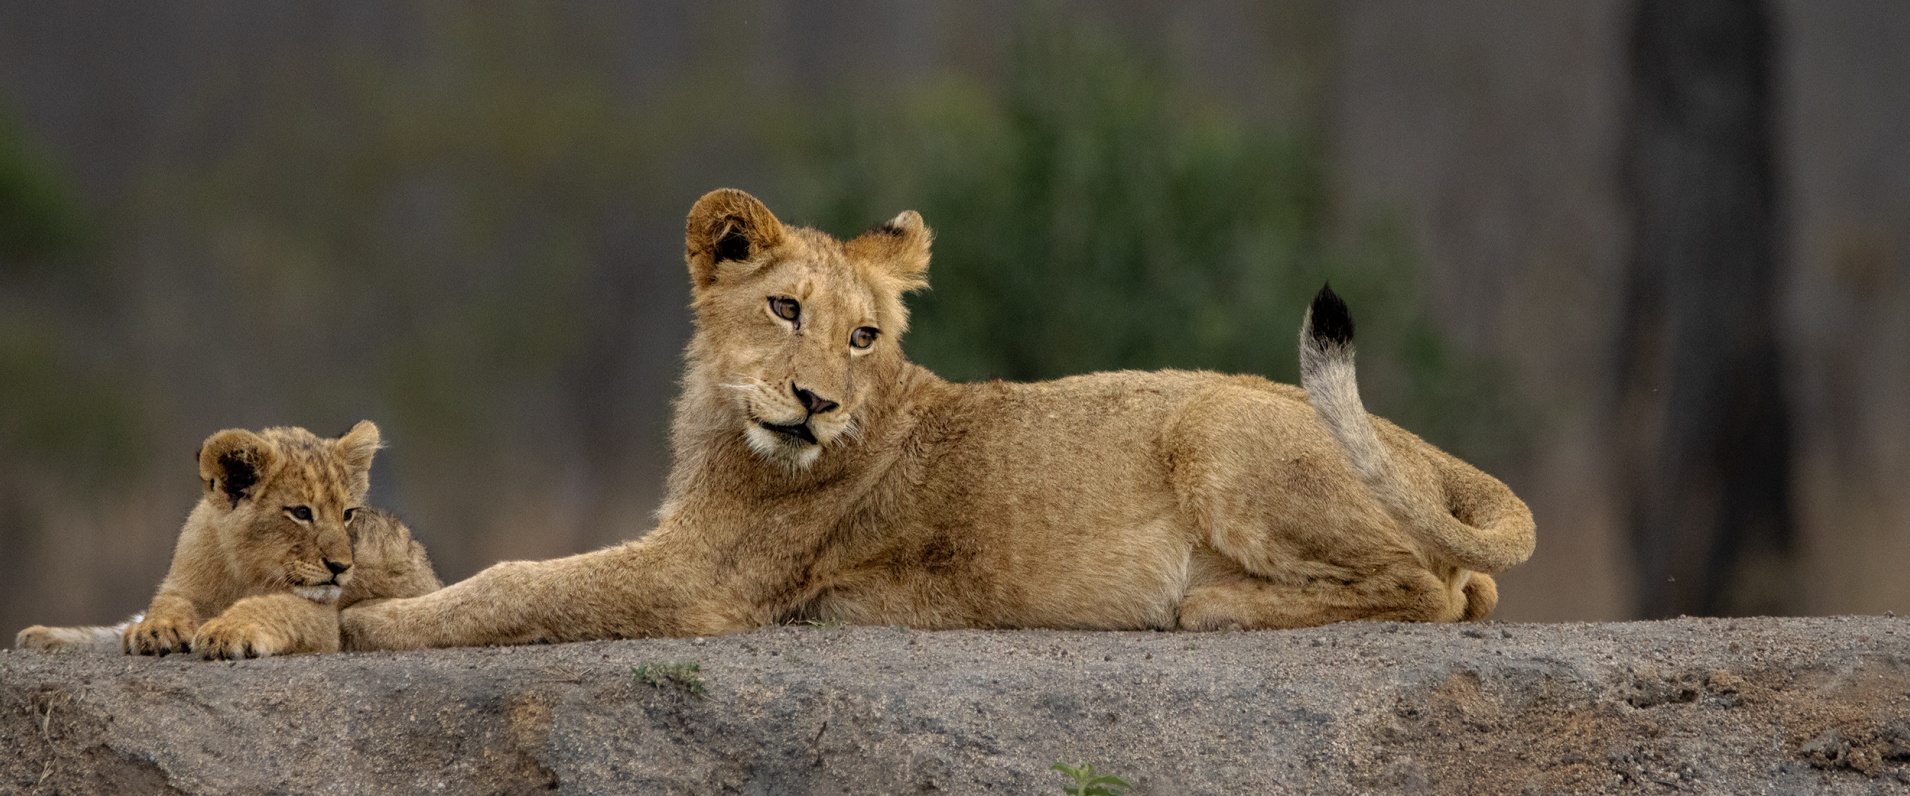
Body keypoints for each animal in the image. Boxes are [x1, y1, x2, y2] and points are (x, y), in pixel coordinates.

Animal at [14, 421, 441, 659]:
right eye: (301, 512)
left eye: (348, 514)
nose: (341, 567)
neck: (241, 566)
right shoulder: (184, 581)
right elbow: (168, 601)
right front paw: (157, 629)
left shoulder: (325, 621)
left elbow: (276, 607)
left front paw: (227, 631)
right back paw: (39, 636)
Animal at [341, 188, 1534, 651]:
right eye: (786, 309)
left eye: (864, 336)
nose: (815, 402)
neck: (722, 427)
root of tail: (1423, 450)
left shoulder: (703, 580)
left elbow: (520, 583)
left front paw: (365, 620)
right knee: (1465, 588)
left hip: (1213, 432)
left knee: (1426, 586)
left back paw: (1206, 603)